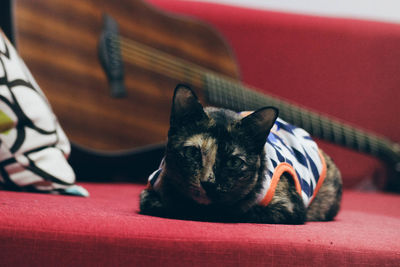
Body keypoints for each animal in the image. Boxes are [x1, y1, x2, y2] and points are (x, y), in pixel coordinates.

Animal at [139, 85, 342, 225]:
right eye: (192, 152)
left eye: (234, 162)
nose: (208, 182)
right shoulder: (149, 192)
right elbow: (158, 202)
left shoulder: (288, 207)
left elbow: (234, 212)